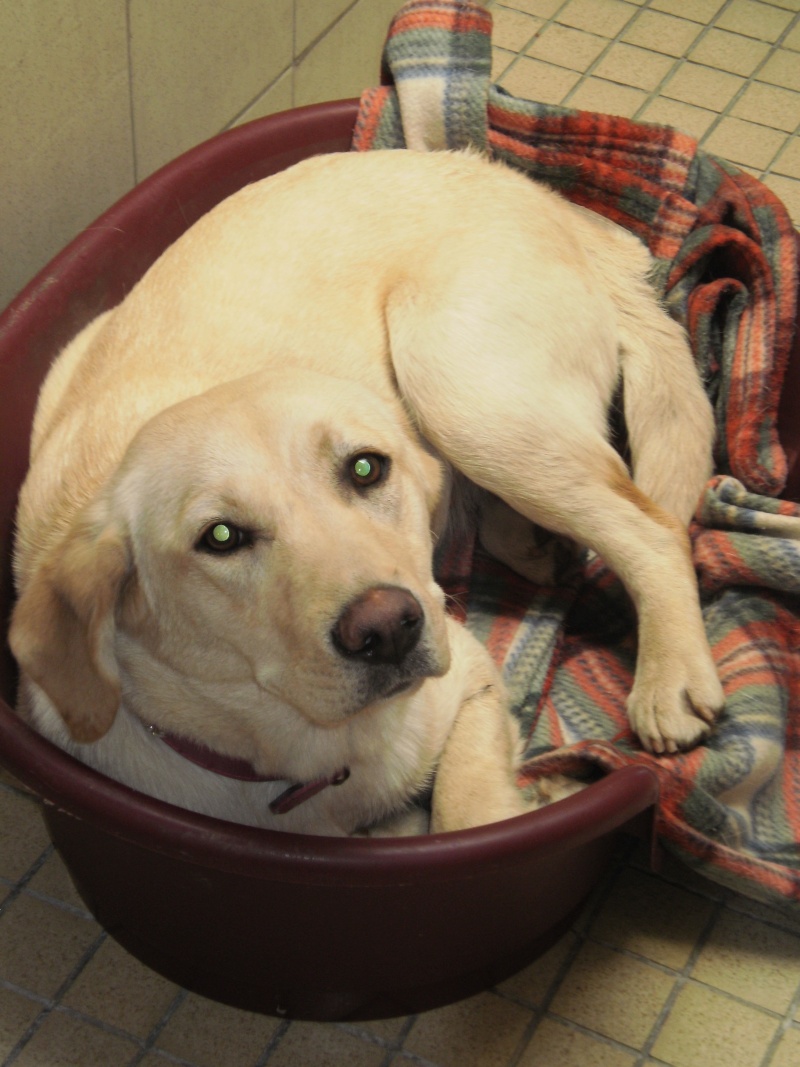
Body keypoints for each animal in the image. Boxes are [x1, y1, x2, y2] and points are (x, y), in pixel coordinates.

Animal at [7, 148, 725, 832]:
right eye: (221, 536)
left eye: (364, 469)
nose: (387, 627)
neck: (312, 766)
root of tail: (530, 192)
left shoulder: (471, 676)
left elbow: (463, 812)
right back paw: (535, 546)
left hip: (457, 384)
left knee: (648, 527)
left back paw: (670, 679)